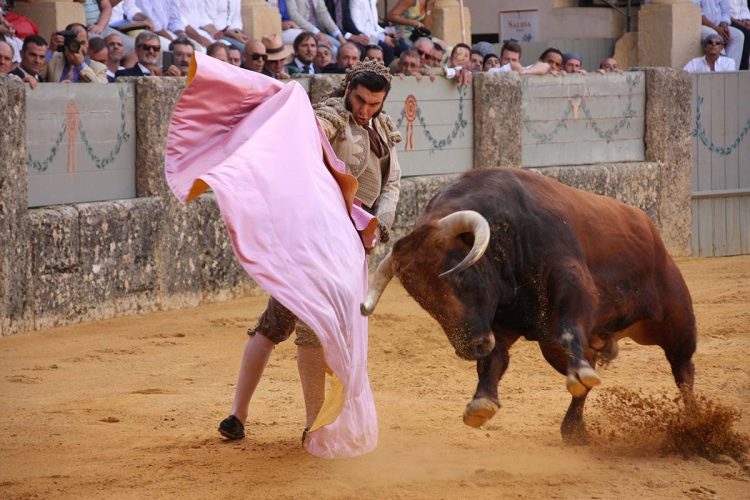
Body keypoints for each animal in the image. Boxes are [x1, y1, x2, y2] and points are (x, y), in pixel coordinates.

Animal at [364, 167, 700, 442]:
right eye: (421, 298)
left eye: (460, 275)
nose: (470, 347)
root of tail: (647, 224)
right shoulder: (499, 324)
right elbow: (493, 361)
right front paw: (481, 404)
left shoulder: (572, 281)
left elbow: (568, 329)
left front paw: (579, 372)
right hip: (554, 346)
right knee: (586, 373)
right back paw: (574, 429)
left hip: (675, 318)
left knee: (683, 369)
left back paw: (695, 424)